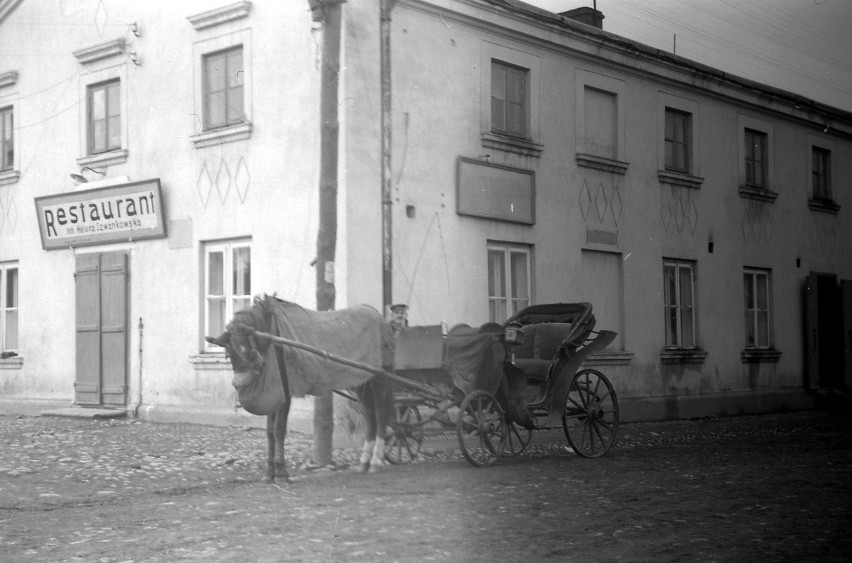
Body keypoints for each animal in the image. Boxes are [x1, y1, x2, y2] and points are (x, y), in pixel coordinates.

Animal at [205, 296, 394, 484]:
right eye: (229, 353)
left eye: (248, 349)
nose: (238, 383)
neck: (273, 338)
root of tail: (378, 315)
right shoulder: (271, 393)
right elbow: (270, 432)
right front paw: (269, 472)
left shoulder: (285, 393)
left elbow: (279, 430)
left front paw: (282, 471)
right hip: (362, 380)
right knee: (370, 415)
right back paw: (364, 462)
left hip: (380, 378)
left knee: (380, 414)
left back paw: (376, 461)